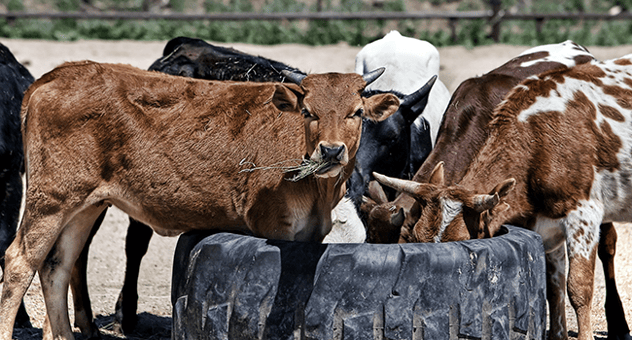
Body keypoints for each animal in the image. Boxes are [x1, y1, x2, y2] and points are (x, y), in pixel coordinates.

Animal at [0, 61, 400, 340]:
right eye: (308, 112)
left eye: (357, 112)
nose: (331, 151)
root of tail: (57, 75)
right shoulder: (275, 226)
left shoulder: (311, 232)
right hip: (50, 200)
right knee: (19, 262)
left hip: (84, 205)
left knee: (57, 267)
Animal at [372, 53, 632, 340]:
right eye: (417, 239)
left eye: (463, 242)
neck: (536, 141)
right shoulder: (547, 225)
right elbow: (553, 286)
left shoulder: (583, 215)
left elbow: (579, 288)